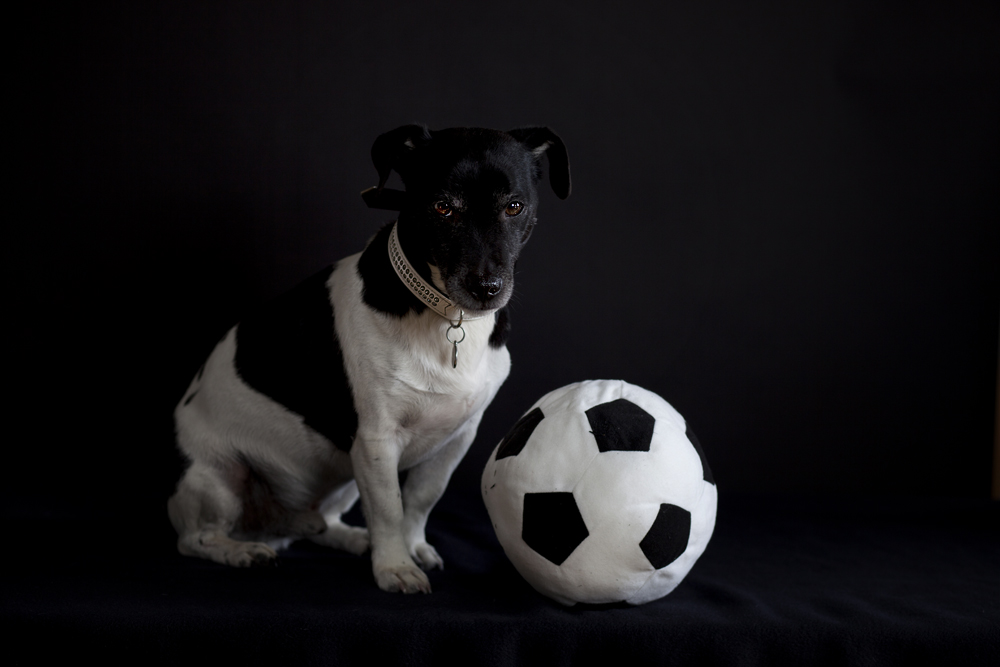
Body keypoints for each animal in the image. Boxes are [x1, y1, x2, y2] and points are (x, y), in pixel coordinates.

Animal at [170, 125, 572, 596]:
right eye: (442, 207)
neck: (445, 316)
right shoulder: (376, 440)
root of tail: (276, 524)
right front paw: (395, 565)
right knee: (195, 539)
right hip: (220, 476)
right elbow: (389, 508)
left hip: (341, 473)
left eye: (514, 206)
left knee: (322, 522)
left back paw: (348, 538)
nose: (486, 288)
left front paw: (411, 547)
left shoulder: (455, 439)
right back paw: (239, 551)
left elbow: (420, 500)